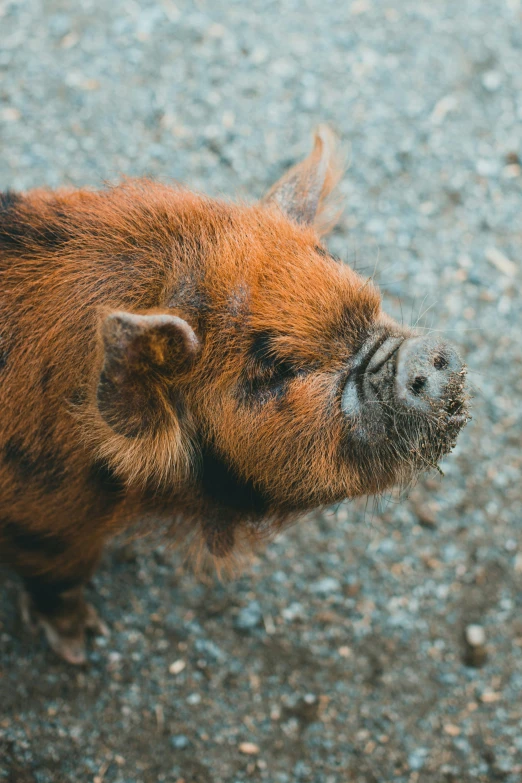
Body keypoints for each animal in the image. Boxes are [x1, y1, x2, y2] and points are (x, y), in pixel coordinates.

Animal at [0, 127, 466, 660]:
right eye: (274, 374)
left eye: (373, 304)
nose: (428, 354)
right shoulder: (44, 524)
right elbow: (61, 577)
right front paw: (81, 647)